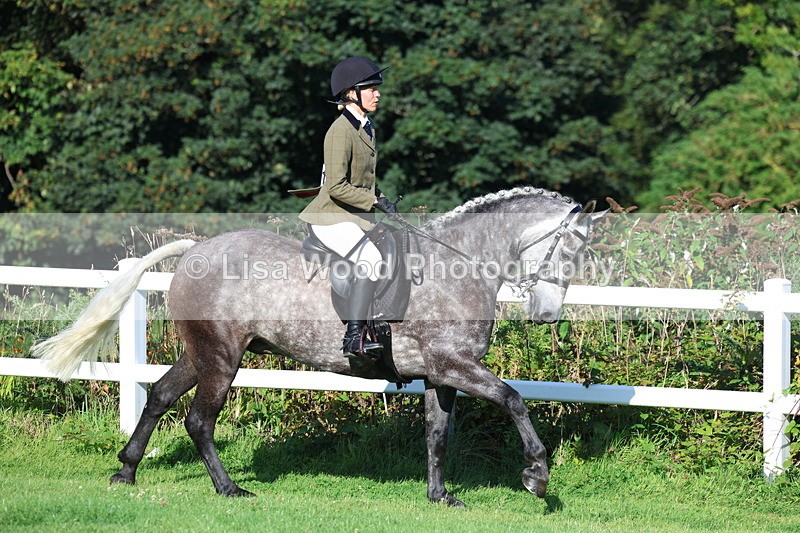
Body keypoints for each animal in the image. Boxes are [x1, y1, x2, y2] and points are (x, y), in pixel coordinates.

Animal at [33, 187, 604, 507]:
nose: (547, 314)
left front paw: (441, 497)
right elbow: (514, 399)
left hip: (201, 353)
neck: (456, 265)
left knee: (158, 397)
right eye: (571, 248)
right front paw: (537, 476)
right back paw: (229, 490)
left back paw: (126, 471)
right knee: (198, 419)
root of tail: (198, 248)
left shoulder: (443, 374)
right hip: (222, 357)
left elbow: (438, 435)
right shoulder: (455, 365)